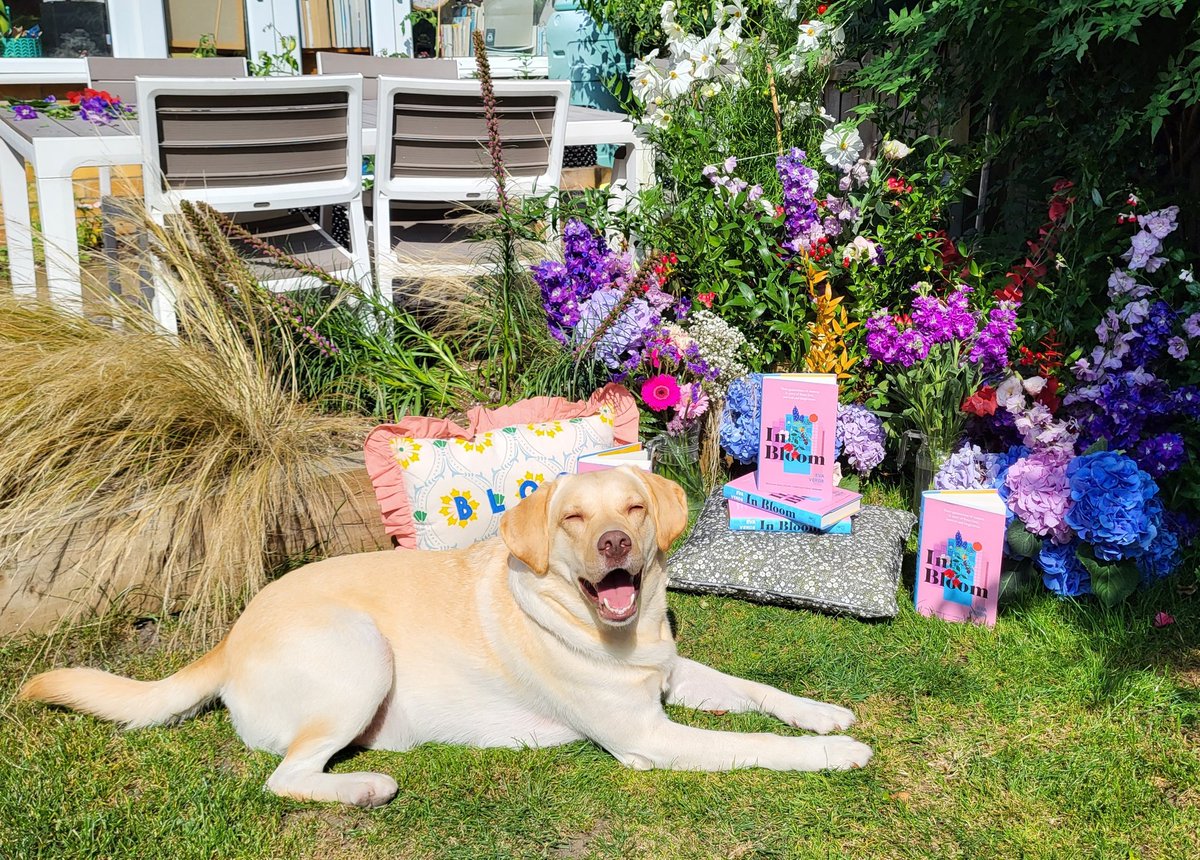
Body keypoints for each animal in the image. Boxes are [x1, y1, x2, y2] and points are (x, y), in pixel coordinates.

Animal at [18, 465, 873, 801]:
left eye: (631, 508)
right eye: (572, 518)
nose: (615, 545)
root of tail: (228, 636)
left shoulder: (670, 676)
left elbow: (758, 691)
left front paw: (825, 713)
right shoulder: (648, 737)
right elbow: (759, 746)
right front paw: (835, 754)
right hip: (360, 653)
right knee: (284, 778)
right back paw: (364, 786)